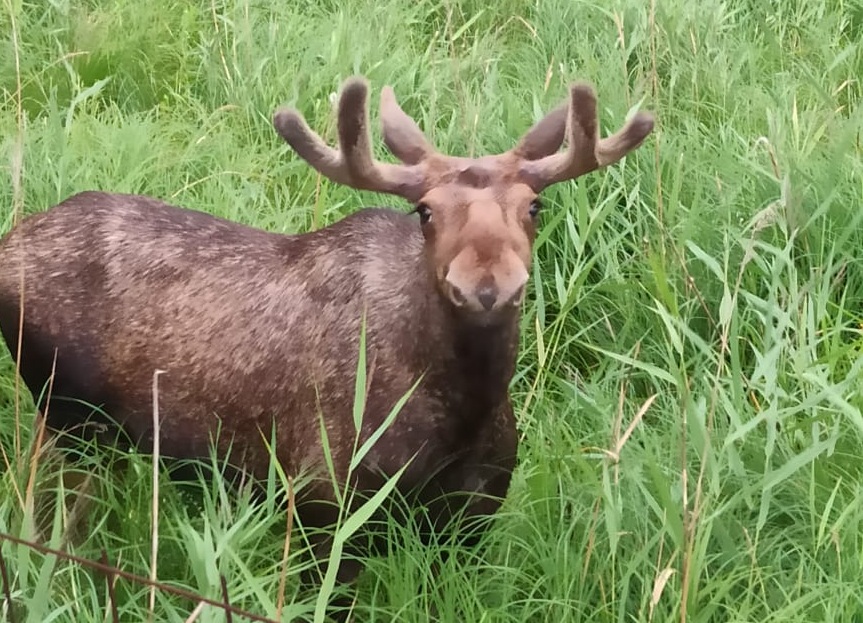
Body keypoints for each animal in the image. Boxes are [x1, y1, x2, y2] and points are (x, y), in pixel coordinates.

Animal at [0, 75, 653, 605]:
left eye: (533, 205)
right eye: (425, 210)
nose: (487, 286)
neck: (460, 416)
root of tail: (10, 244)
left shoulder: (474, 515)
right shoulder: (323, 503)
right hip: (68, 420)